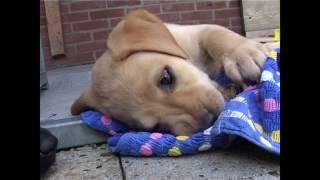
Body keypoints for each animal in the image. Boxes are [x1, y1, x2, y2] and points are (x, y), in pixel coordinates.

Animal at [72, 9, 272, 135]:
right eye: (156, 127)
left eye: (166, 77)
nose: (208, 118)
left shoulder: (196, 32)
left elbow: (216, 34)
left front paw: (244, 54)